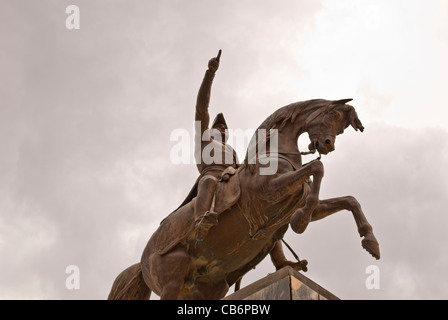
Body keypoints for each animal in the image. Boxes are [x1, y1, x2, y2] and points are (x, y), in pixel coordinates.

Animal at [107, 97, 378, 300]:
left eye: (342, 126)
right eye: (331, 116)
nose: (328, 145)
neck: (273, 153)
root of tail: (141, 262)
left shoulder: (294, 203)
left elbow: (349, 200)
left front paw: (370, 242)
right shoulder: (269, 191)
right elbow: (318, 169)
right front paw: (300, 222)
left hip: (211, 288)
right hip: (173, 274)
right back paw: (203, 223)